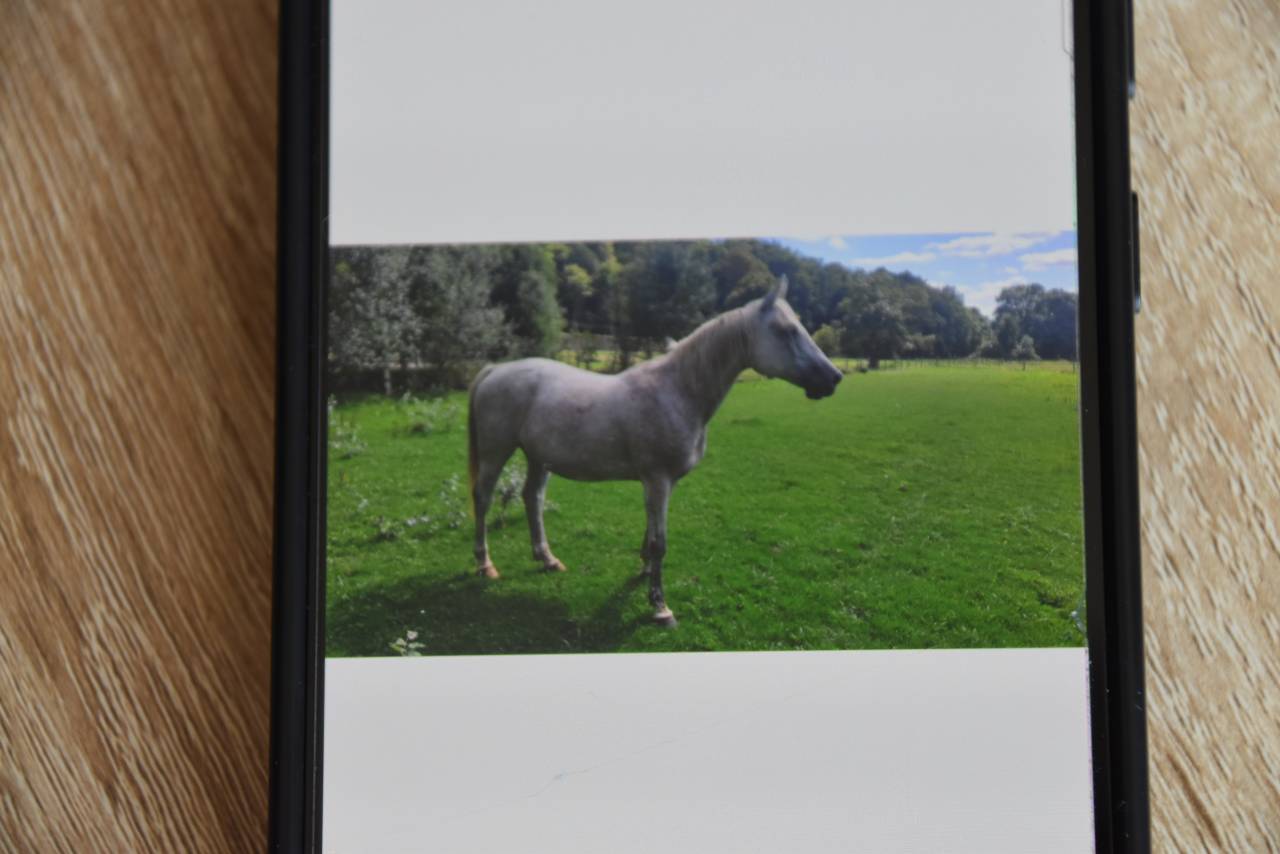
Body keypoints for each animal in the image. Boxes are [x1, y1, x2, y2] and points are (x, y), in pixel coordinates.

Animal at [466, 276, 842, 627]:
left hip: (537, 457)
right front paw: (660, 607)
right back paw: (486, 564)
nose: (833, 377)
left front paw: (645, 571)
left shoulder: (662, 482)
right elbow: (660, 541)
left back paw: (547, 559)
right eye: (786, 330)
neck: (678, 390)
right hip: (496, 452)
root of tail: (494, 370)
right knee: (484, 498)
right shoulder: (658, 479)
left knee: (532, 498)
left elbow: (650, 535)